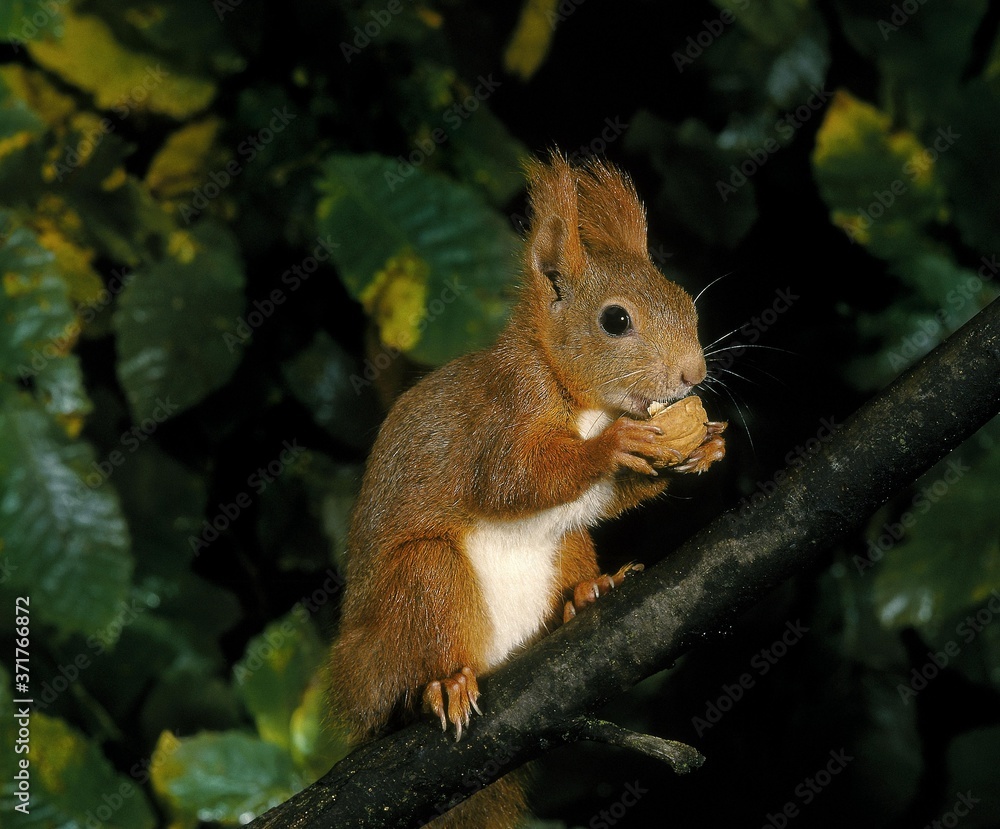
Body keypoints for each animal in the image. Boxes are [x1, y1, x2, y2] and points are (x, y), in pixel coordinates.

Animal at [329, 152, 726, 828]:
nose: (692, 374)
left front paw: (701, 450)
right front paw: (615, 446)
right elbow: (512, 480)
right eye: (615, 320)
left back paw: (587, 593)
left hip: (565, 543)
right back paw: (446, 683)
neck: (582, 398)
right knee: (420, 650)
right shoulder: (502, 413)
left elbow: (600, 495)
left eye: (684, 301)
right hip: (418, 590)